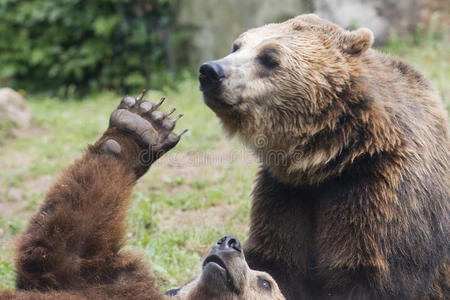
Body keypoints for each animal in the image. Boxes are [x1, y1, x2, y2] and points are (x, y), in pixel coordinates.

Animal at [199, 14, 448, 300]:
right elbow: (276, 261)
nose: (210, 71)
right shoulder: (285, 194)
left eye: (269, 57)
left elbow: (372, 274)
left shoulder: (380, 191)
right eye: (236, 46)